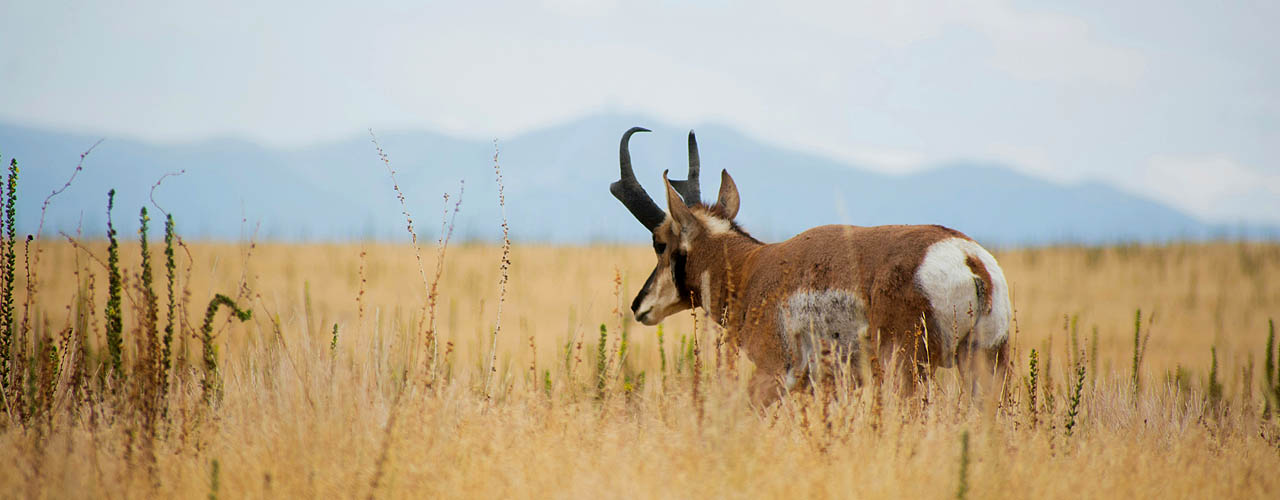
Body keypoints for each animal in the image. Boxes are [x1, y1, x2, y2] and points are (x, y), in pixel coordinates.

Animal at [610, 127, 1012, 405]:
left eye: (660, 243)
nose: (638, 305)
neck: (752, 268)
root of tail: (968, 256)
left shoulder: (771, 374)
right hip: (983, 364)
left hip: (907, 372)